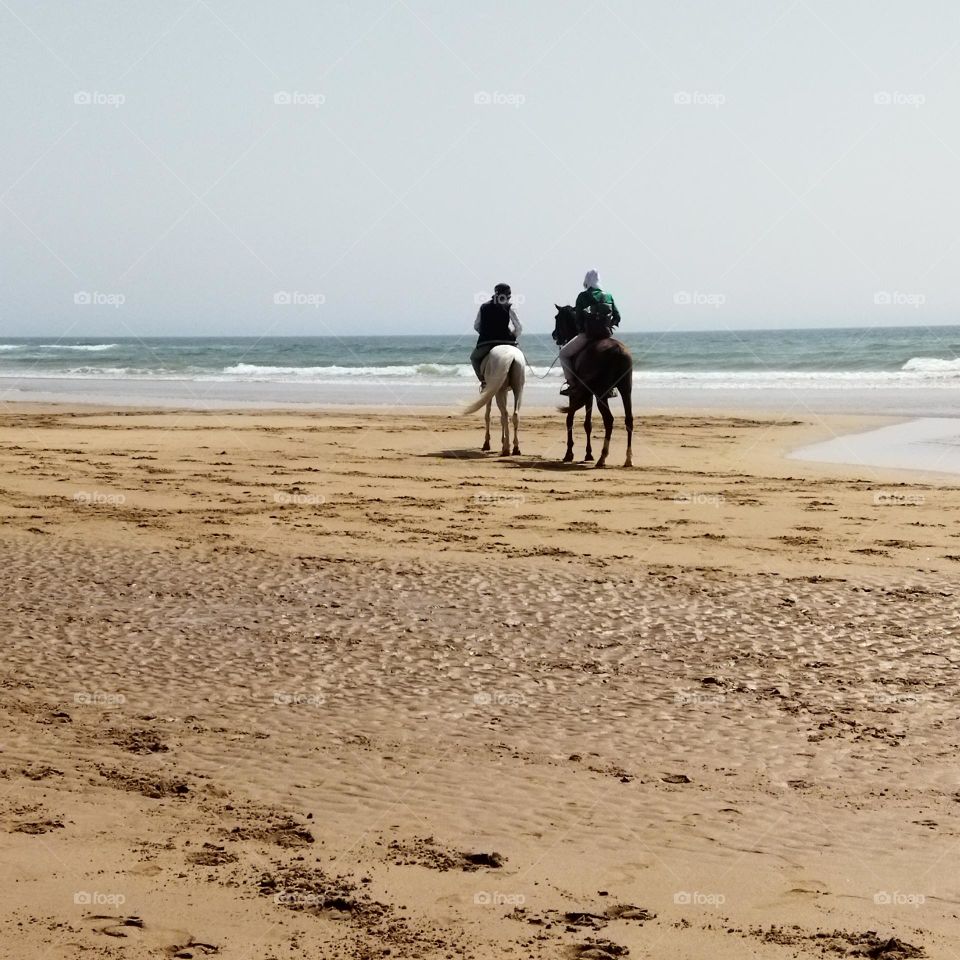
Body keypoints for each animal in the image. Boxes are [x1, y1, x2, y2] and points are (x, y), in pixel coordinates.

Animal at [552, 304, 632, 468]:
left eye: (557, 317)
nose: (554, 335)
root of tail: (618, 350)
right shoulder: (588, 394)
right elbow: (587, 424)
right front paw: (588, 454)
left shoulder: (576, 394)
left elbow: (569, 420)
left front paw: (569, 454)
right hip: (625, 390)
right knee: (629, 420)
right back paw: (628, 459)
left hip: (601, 394)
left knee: (609, 420)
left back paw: (603, 457)